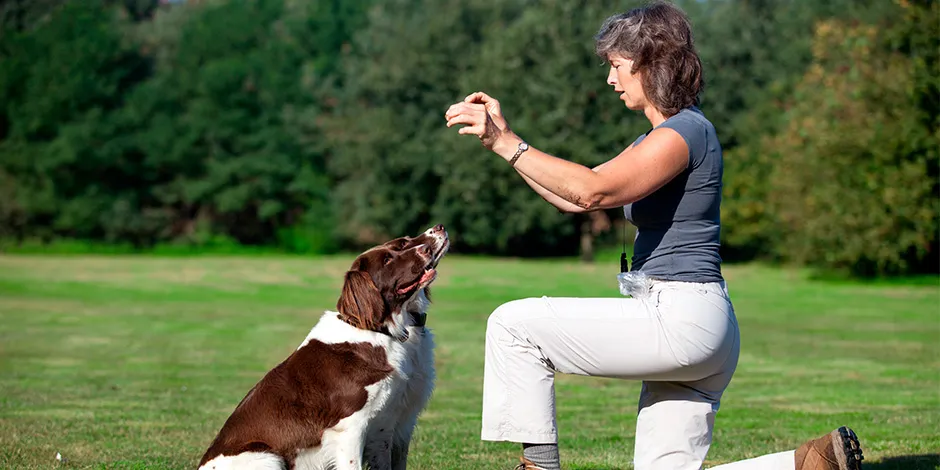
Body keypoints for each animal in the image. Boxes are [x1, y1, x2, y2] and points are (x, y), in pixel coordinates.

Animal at [197, 224, 448, 470]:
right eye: (387, 260)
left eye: (404, 242)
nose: (438, 229)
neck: (382, 330)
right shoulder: (350, 427)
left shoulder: (391, 423)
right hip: (267, 456)